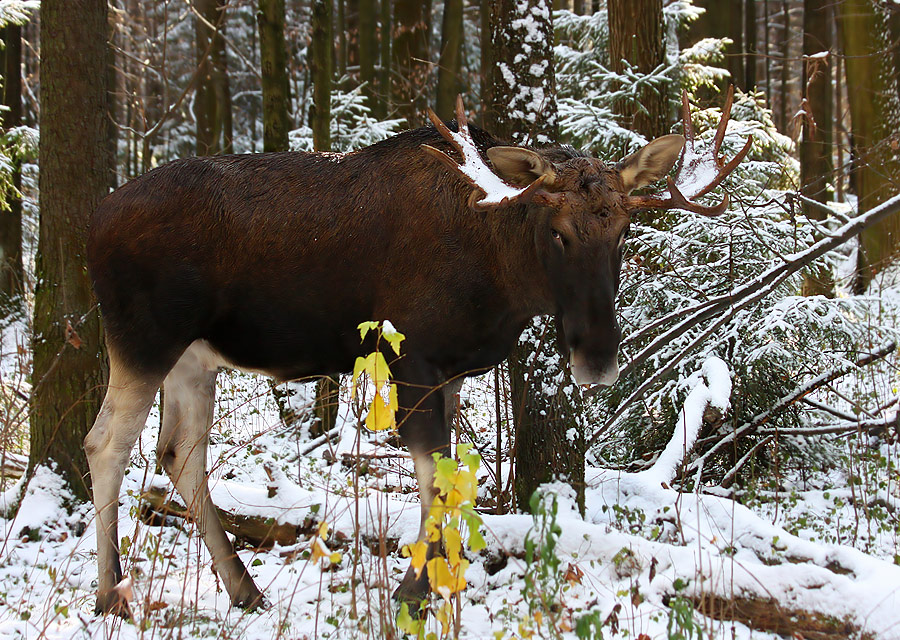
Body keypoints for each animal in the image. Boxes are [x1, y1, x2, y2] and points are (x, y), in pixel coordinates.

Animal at [84, 91, 748, 616]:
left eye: (623, 232)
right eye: (557, 232)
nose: (598, 358)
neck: (499, 276)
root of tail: (90, 225)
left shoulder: (453, 369)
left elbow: (454, 482)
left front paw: (440, 583)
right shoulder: (414, 358)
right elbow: (432, 481)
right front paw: (413, 592)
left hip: (194, 357)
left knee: (179, 452)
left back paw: (243, 589)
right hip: (143, 338)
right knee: (106, 443)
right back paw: (112, 593)